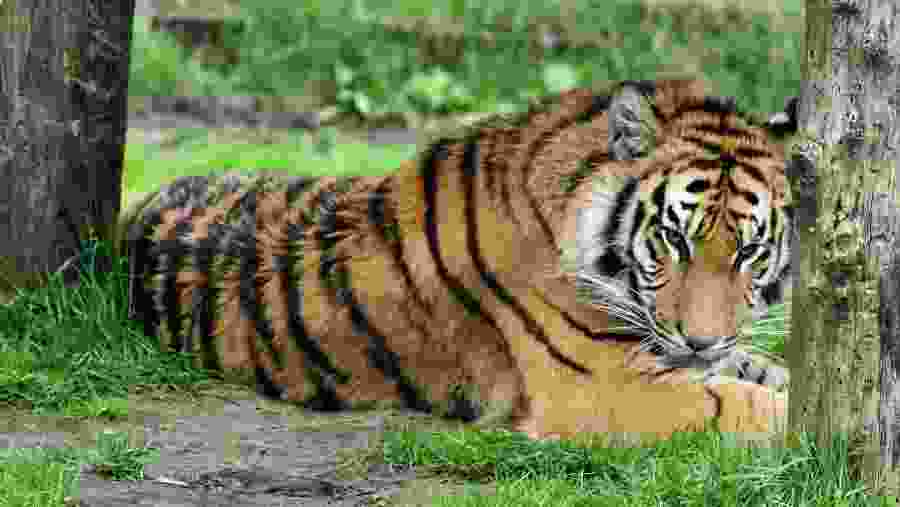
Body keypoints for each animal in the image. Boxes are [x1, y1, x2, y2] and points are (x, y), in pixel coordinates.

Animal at [118, 79, 794, 444]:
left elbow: (758, 369)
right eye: (674, 239)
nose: (701, 340)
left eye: (749, 250)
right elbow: (743, 403)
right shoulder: (601, 387)